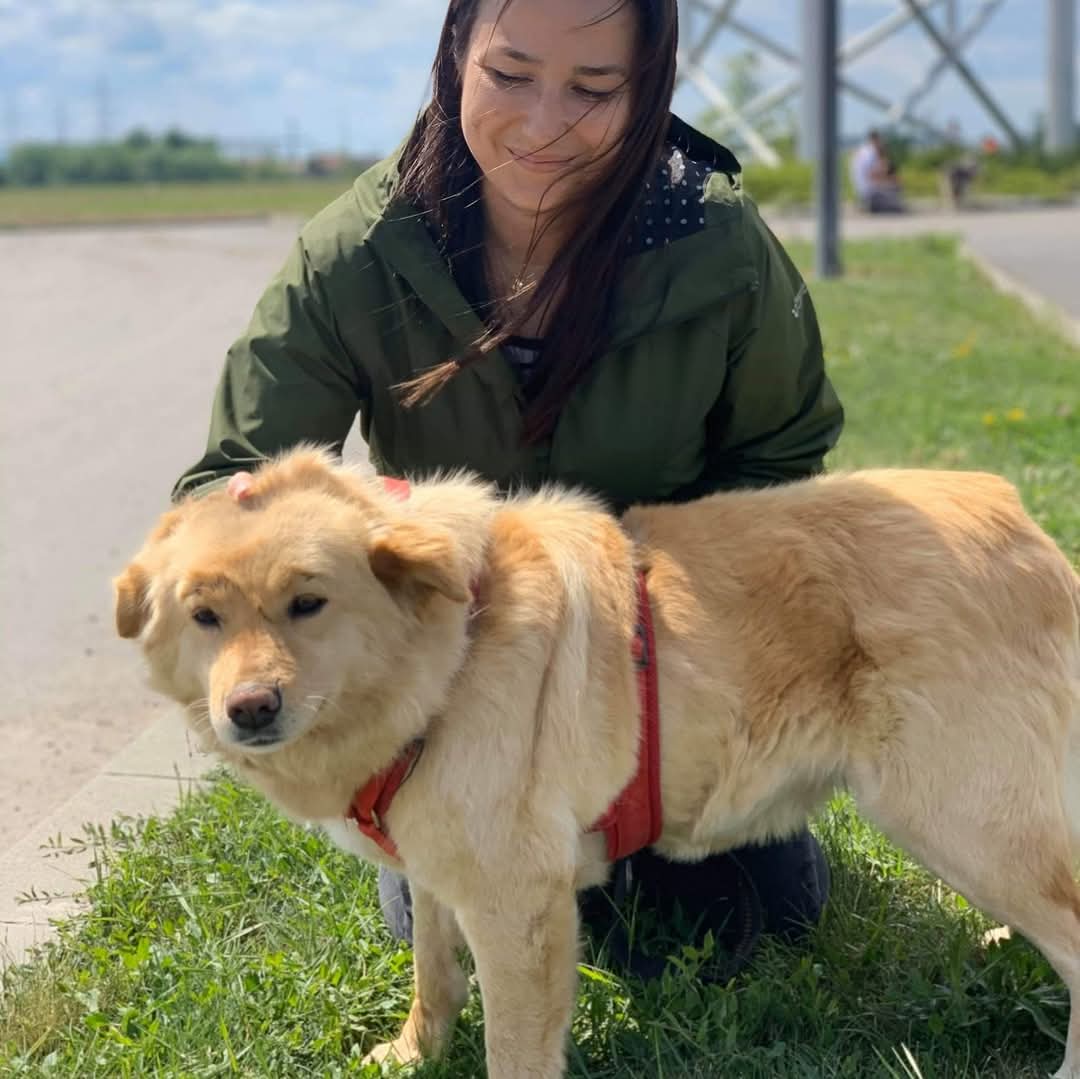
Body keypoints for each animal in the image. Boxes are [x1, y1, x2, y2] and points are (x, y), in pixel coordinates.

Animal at [115, 447, 1080, 1078]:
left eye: (307, 603)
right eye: (205, 616)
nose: (249, 710)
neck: (449, 652)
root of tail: (1022, 524)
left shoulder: (520, 906)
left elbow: (513, 1050)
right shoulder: (440, 866)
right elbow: (433, 973)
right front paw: (414, 1052)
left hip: (955, 815)